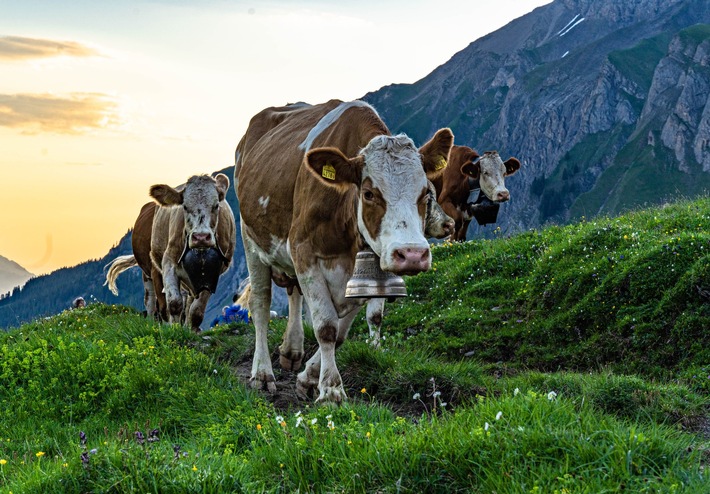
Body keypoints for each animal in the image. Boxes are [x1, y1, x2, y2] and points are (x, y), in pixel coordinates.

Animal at [148, 173, 236, 332]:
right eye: (185, 206)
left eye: (216, 206)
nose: (200, 237)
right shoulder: (169, 261)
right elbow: (175, 303)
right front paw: (175, 329)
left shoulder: (213, 271)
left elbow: (197, 309)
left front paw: (193, 330)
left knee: (190, 303)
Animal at [235, 99, 453, 403]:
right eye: (369, 193)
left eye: (425, 194)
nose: (411, 254)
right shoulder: (303, 250)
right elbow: (326, 326)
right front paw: (331, 390)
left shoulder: (362, 273)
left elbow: (340, 332)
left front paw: (309, 378)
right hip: (251, 239)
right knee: (261, 304)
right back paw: (263, 373)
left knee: (293, 293)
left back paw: (292, 350)